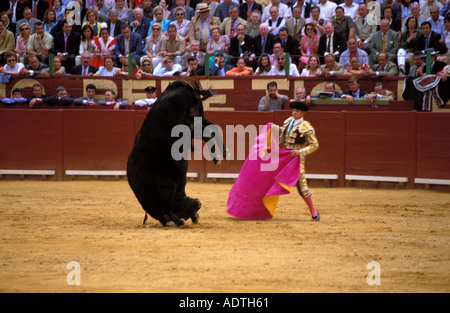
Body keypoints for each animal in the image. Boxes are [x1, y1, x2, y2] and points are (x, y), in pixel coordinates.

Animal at [126, 79, 229, 225]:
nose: (197, 203)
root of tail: (176, 88)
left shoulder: (166, 188)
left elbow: (168, 208)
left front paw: (180, 221)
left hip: (189, 127)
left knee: (209, 132)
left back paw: (219, 158)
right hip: (198, 119)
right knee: (213, 128)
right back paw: (224, 154)